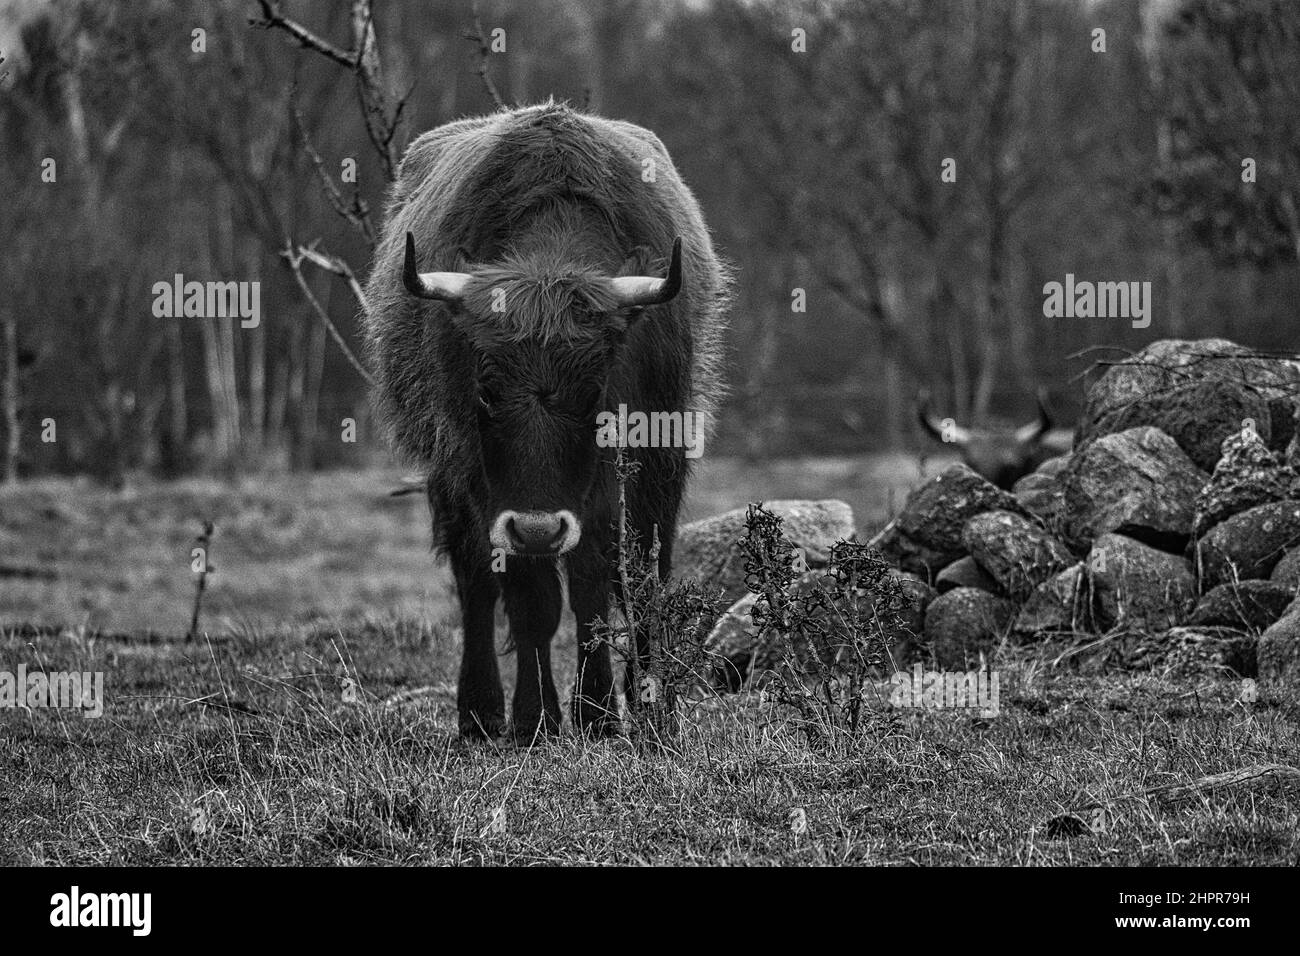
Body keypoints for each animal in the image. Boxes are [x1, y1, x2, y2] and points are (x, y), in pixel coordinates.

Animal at [366, 108, 733, 743]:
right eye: (486, 392)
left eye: (593, 397)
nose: (538, 528)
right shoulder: (487, 491)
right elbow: (529, 598)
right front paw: (536, 716)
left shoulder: (624, 478)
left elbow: (597, 585)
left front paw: (601, 711)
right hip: (453, 483)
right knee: (476, 586)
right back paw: (481, 712)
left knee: (645, 577)